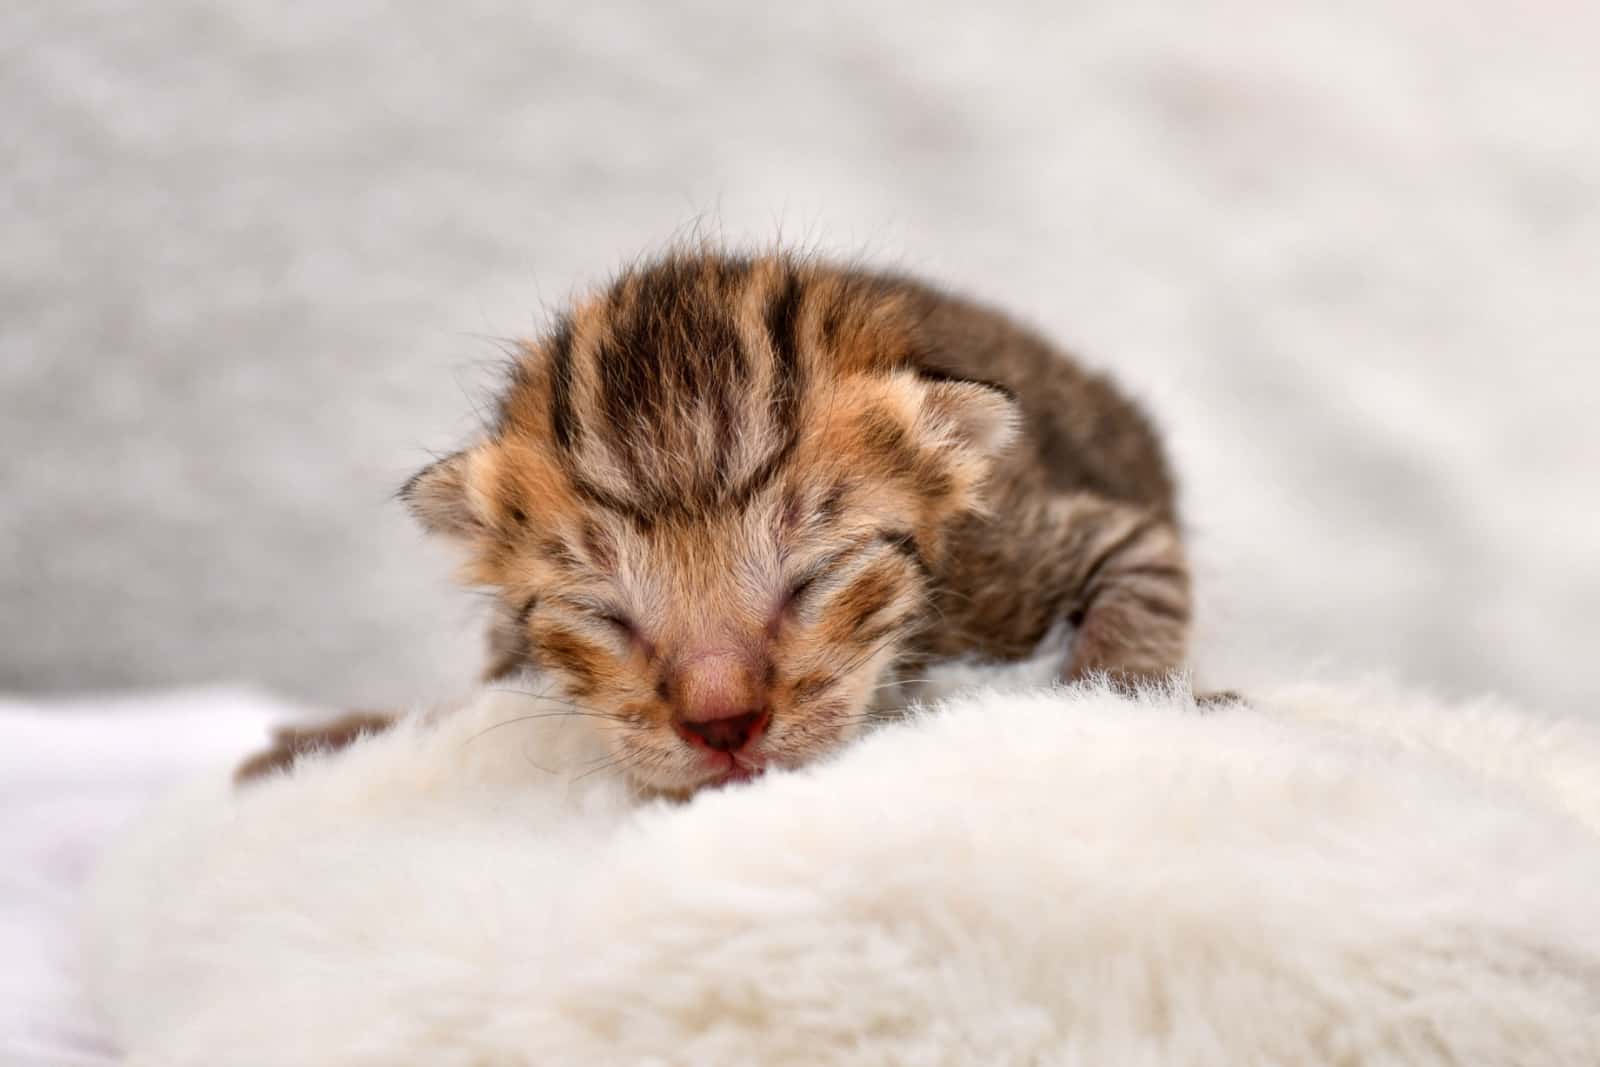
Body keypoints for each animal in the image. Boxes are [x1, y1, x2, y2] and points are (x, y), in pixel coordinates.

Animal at [240, 251, 1203, 793]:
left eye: (812, 580)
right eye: (606, 615)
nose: (722, 726)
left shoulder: (1023, 549)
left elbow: (1141, 595)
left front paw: (1131, 698)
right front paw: (332, 736)